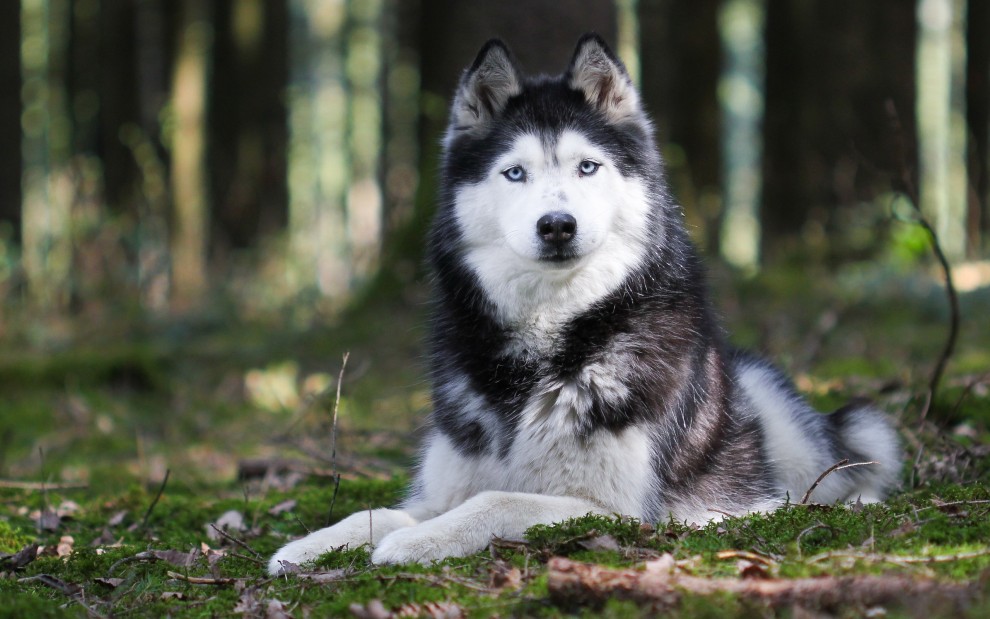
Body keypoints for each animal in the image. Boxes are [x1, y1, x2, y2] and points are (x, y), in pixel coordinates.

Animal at [268, 35, 904, 576]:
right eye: (515, 173)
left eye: (587, 166)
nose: (557, 225)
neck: (548, 343)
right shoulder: (444, 484)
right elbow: (379, 511)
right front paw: (307, 546)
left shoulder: (615, 507)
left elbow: (495, 500)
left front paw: (416, 542)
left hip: (778, 414)